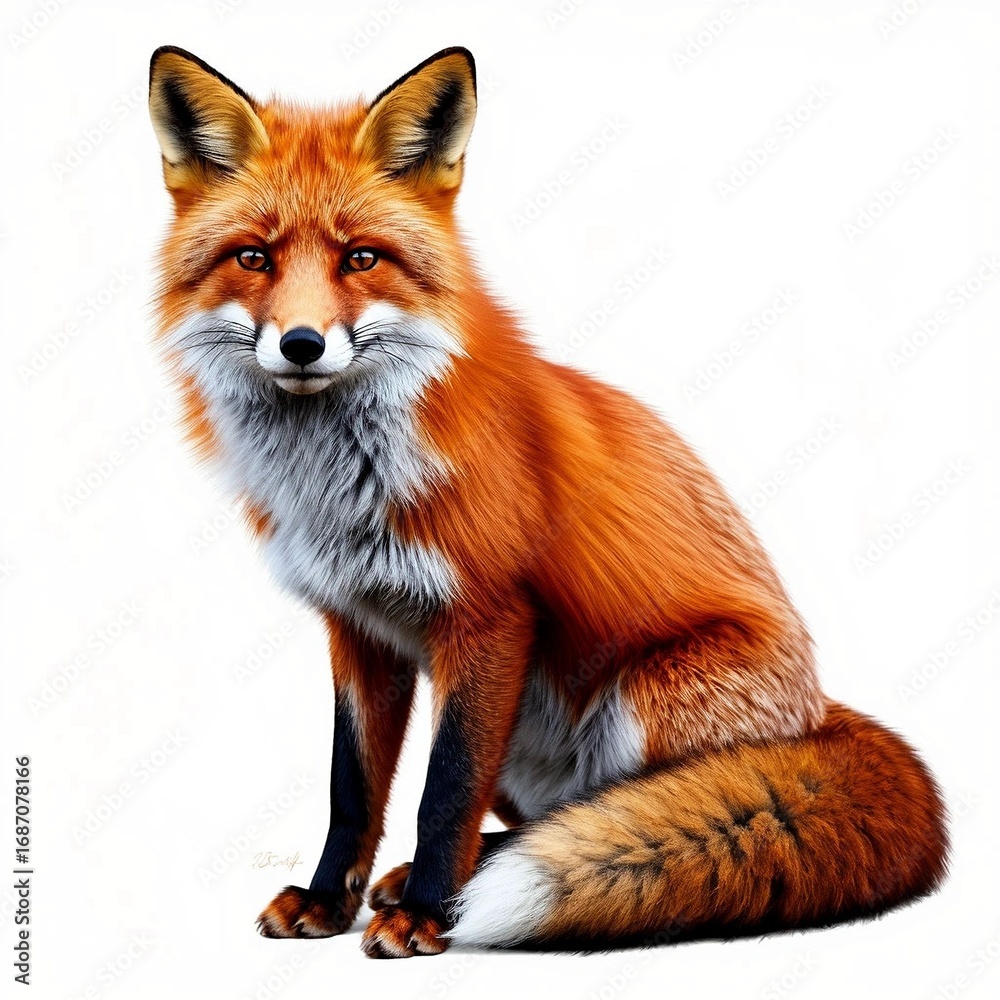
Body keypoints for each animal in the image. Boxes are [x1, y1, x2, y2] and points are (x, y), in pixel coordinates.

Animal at [148, 45, 947, 958]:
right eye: (254, 258)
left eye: (362, 258)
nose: (303, 344)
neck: (342, 482)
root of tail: (817, 716)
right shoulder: (358, 629)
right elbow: (352, 790)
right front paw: (327, 901)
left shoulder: (490, 617)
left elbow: (443, 792)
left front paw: (427, 914)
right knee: (550, 819)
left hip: (644, 701)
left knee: (612, 812)